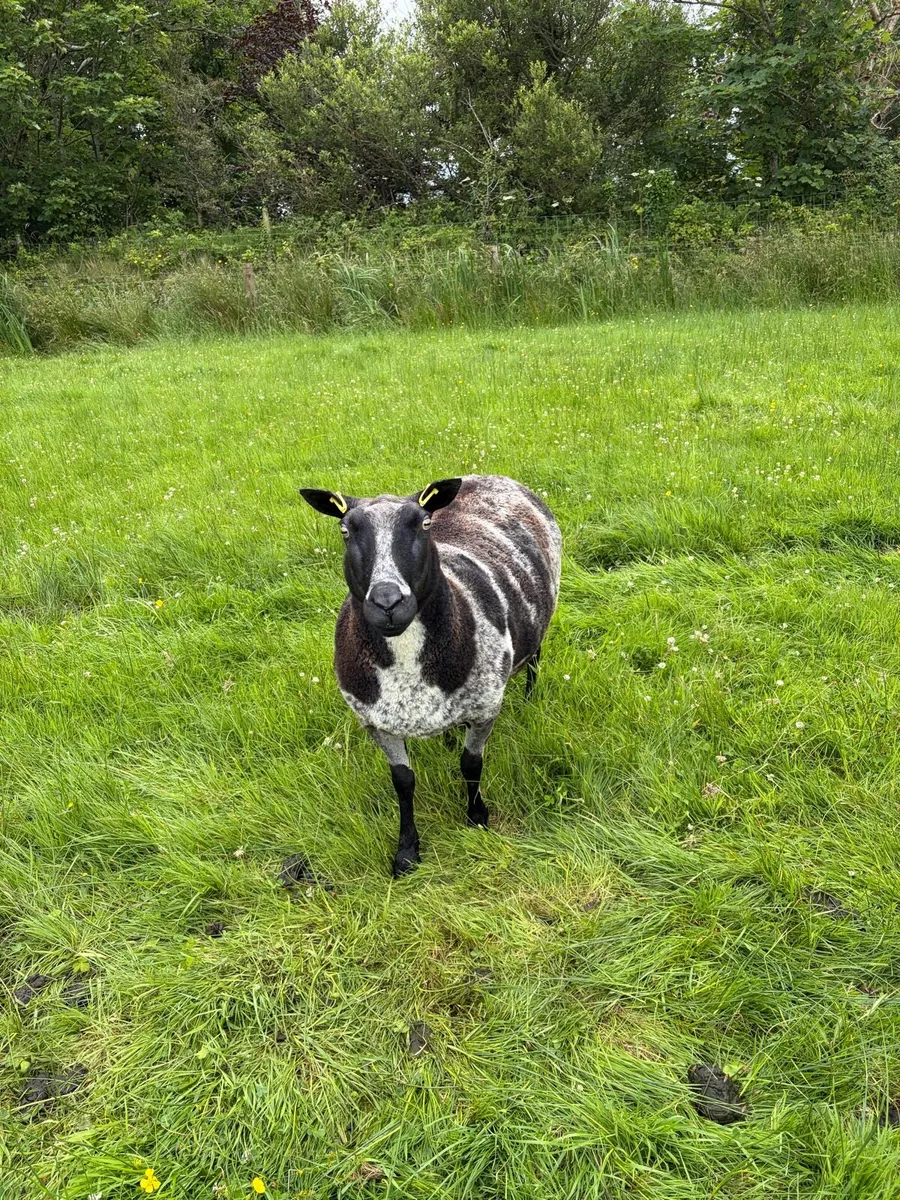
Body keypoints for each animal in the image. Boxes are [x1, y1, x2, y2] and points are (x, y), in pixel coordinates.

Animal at [300, 474, 562, 876]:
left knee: (534, 658)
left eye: (424, 524)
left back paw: (531, 699)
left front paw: (477, 818)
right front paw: (407, 852)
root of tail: (488, 476)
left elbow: (471, 766)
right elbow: (403, 781)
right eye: (345, 530)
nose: (388, 603)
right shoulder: (375, 721)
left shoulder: (485, 706)